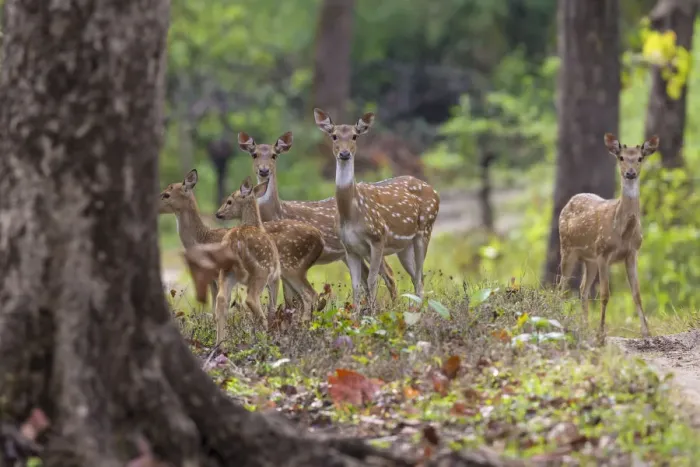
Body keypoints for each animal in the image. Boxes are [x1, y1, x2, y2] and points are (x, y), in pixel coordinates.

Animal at [183, 178, 281, 343]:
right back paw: (266, 337)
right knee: (251, 299)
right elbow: (273, 305)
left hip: (226, 271)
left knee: (221, 300)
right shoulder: (276, 275)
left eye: (229, 201)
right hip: (260, 271)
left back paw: (220, 343)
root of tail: (235, 243)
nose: (218, 213)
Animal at [313, 108, 441, 308]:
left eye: (355, 136)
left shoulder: (378, 238)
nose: (344, 153)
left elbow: (372, 281)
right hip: (404, 246)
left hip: (425, 229)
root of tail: (436, 193)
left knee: (420, 276)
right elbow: (356, 285)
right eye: (334, 136)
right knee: (415, 276)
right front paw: (356, 314)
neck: (351, 213)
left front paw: (373, 312)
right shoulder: (349, 247)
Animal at [558, 133, 659, 340]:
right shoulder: (603, 253)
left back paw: (585, 326)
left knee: (582, 289)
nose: (630, 173)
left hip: (589, 260)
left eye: (640, 158)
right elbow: (605, 294)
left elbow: (637, 294)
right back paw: (562, 321)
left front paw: (647, 332)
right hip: (567, 248)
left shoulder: (632, 253)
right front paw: (601, 332)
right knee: (562, 288)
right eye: (621, 157)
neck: (623, 232)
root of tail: (568, 202)